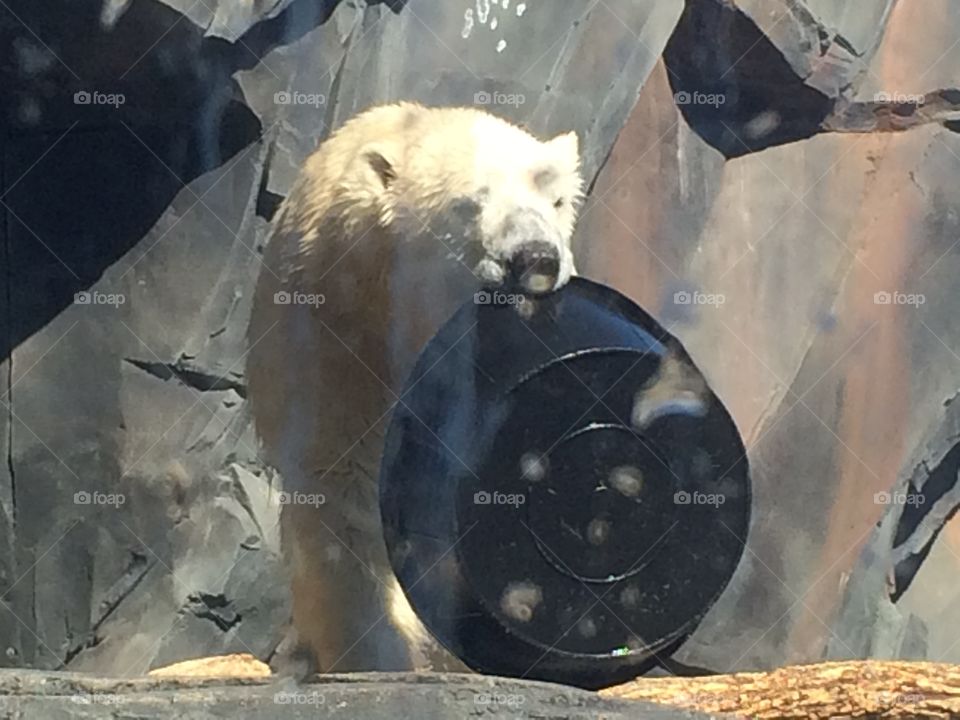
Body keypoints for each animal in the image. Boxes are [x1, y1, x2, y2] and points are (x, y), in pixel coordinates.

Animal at [246, 102, 583, 675]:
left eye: (554, 199)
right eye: (472, 200)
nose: (537, 257)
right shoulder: (336, 342)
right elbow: (342, 492)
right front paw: (381, 657)